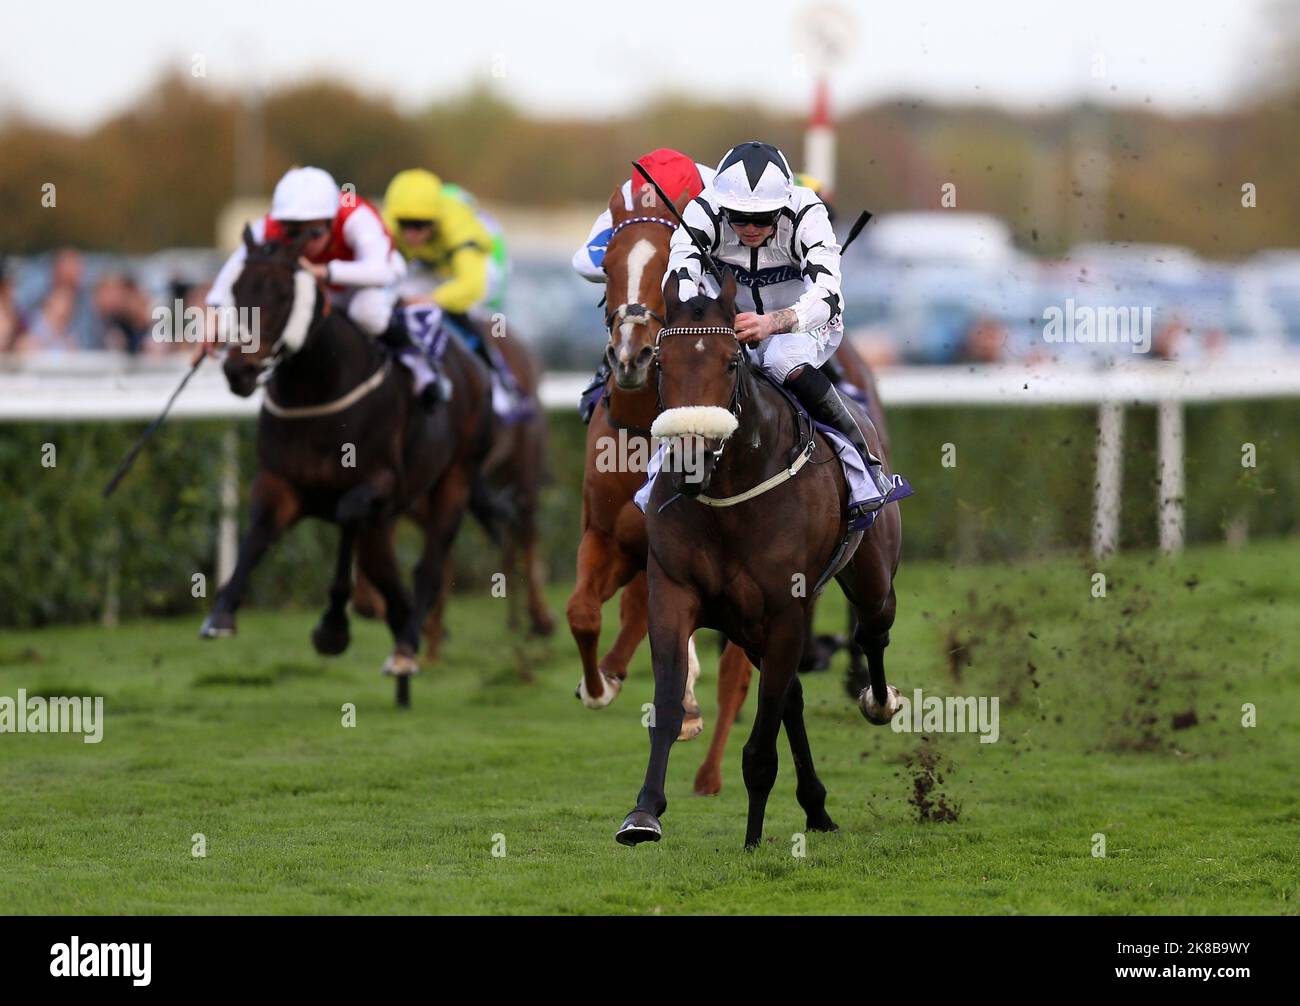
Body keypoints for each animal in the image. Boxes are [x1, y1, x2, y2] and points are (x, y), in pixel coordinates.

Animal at [202, 232, 496, 712]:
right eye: (236, 291)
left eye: (282, 295)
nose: (238, 369)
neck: (317, 389)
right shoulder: (278, 484)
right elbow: (257, 536)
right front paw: (222, 613)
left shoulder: (376, 484)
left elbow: (346, 520)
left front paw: (333, 627)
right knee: (387, 570)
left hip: (455, 480)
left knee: (429, 567)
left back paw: (404, 649)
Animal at [616, 274, 904, 852]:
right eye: (661, 363)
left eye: (731, 361)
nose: (690, 456)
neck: (731, 491)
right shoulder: (674, 594)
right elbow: (669, 707)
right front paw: (643, 813)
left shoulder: (786, 612)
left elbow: (760, 742)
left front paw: (752, 838)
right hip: (745, 626)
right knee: (792, 695)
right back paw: (816, 807)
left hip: (871, 577)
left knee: (871, 630)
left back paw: (877, 701)